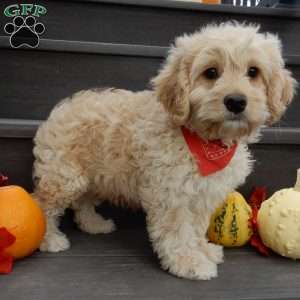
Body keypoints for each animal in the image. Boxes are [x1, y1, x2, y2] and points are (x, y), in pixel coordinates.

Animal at [32, 22, 296, 278]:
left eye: (253, 71)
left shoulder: (203, 195)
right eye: (211, 72)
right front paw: (189, 263)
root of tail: (62, 107)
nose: (236, 101)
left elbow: (196, 227)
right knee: (43, 202)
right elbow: (177, 231)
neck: (206, 140)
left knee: (83, 202)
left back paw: (94, 224)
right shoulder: (171, 193)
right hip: (64, 176)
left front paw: (203, 250)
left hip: (97, 175)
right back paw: (50, 239)